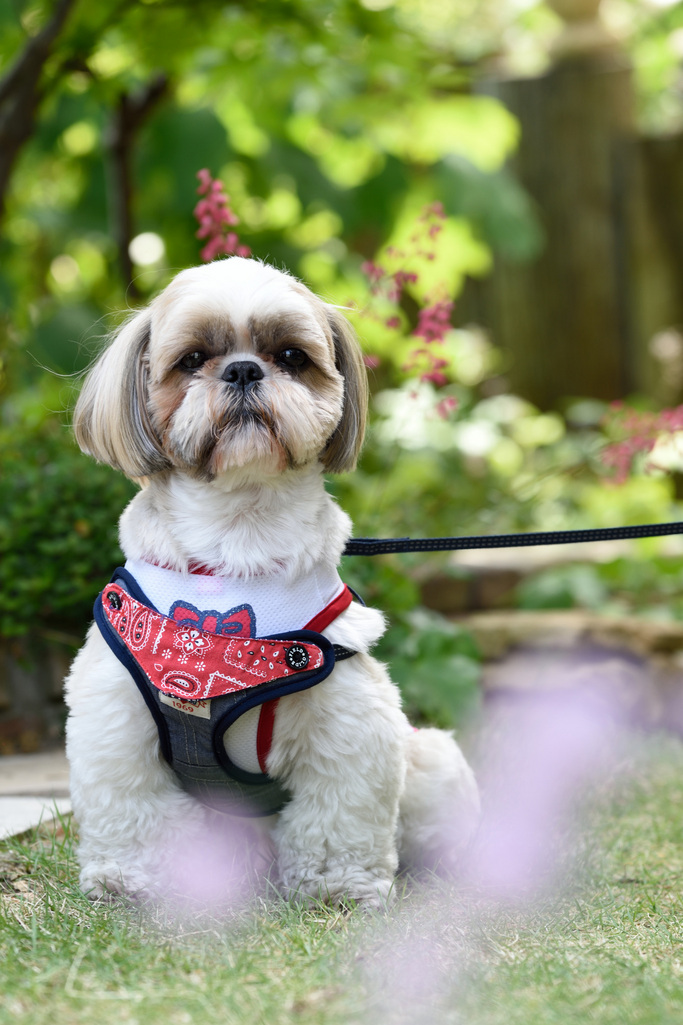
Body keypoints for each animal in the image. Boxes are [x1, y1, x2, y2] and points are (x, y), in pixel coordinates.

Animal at [64, 257, 479, 907]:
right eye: (192, 360)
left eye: (289, 356)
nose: (241, 369)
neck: (237, 550)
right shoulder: (117, 713)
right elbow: (133, 808)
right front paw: (131, 878)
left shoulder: (347, 715)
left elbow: (338, 814)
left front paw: (337, 884)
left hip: (432, 757)